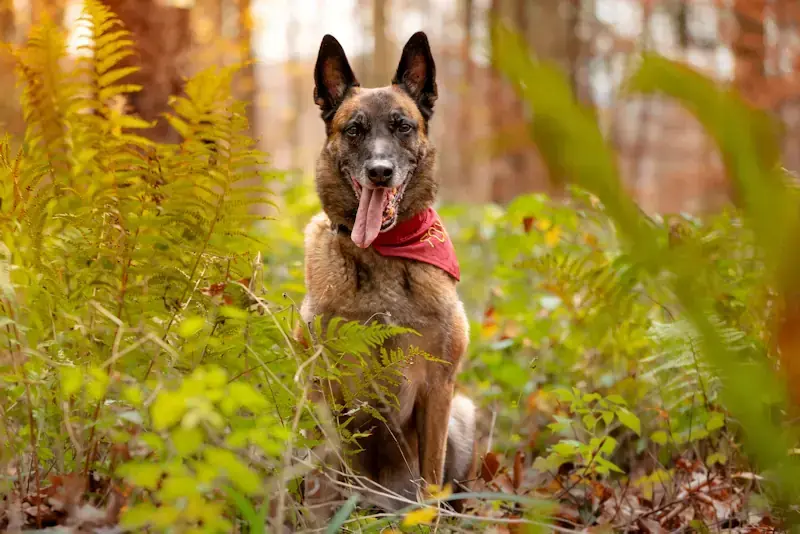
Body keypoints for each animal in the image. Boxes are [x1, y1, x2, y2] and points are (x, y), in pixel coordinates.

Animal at [295, 31, 479, 520]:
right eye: (354, 130)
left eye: (402, 126)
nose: (380, 172)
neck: (383, 255)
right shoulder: (322, 390)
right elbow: (324, 480)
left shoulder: (438, 387)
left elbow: (431, 477)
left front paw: (427, 522)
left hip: (463, 413)